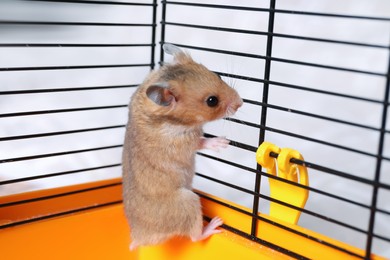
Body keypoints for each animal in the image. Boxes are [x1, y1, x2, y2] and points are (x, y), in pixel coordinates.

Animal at [122, 44, 244, 250]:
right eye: (212, 101)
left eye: (218, 75)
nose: (241, 103)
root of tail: (139, 237)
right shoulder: (183, 141)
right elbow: (201, 142)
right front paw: (223, 143)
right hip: (189, 202)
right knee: (195, 237)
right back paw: (214, 225)